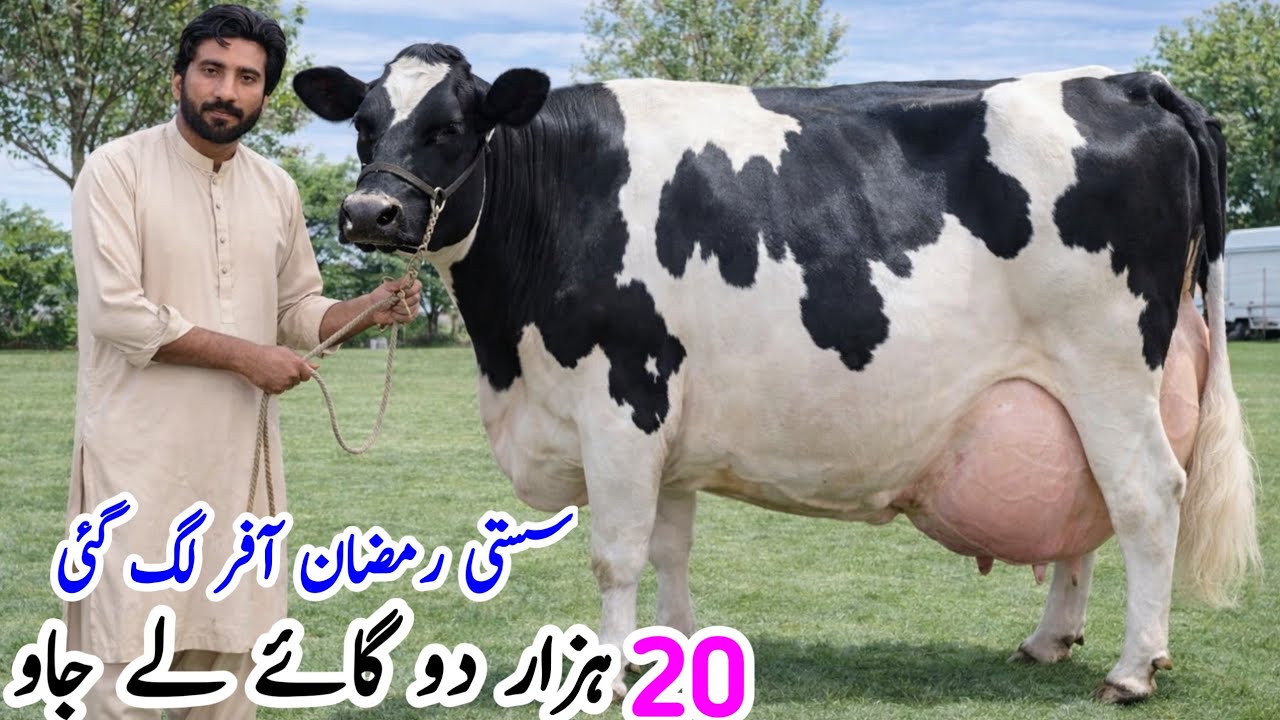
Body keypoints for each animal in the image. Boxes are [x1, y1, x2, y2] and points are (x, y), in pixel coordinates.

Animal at [294, 45, 1260, 703]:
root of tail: (1129, 81)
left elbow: (615, 554)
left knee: (1144, 496)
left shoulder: (623, 396)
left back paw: (1133, 669)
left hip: (1108, 367)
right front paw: (672, 657)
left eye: (452, 129)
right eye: (365, 124)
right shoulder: (670, 423)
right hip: (1066, 389)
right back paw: (1051, 639)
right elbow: (670, 549)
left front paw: (611, 672)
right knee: (1088, 506)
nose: (368, 211)